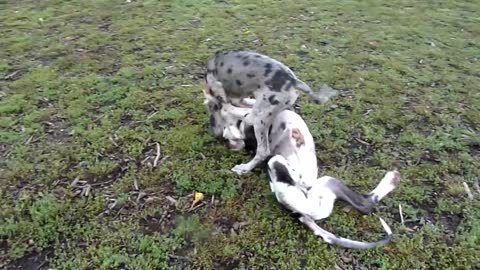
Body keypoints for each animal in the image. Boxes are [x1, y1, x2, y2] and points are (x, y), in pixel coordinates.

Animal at [206, 50, 338, 175]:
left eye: (213, 108)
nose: (215, 133)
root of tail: (294, 81)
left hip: (259, 121)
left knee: (263, 151)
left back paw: (244, 168)